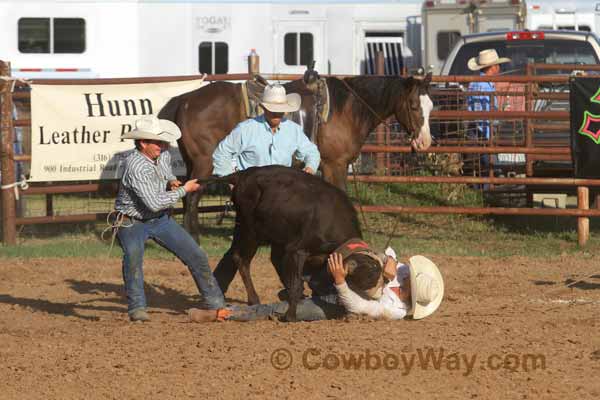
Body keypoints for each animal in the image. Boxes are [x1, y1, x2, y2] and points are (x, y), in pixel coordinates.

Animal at [159, 73, 432, 236]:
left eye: (431, 106)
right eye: (414, 105)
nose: (425, 142)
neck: (347, 109)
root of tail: (184, 99)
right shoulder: (335, 164)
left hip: (192, 160)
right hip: (204, 161)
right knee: (192, 196)